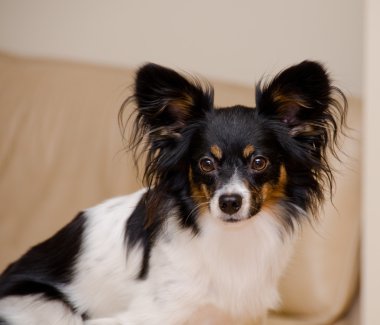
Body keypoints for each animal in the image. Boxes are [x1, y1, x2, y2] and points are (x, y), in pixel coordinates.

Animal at [0, 61, 348, 324]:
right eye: (206, 163)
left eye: (259, 162)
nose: (229, 202)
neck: (231, 240)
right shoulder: (145, 315)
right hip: (53, 309)